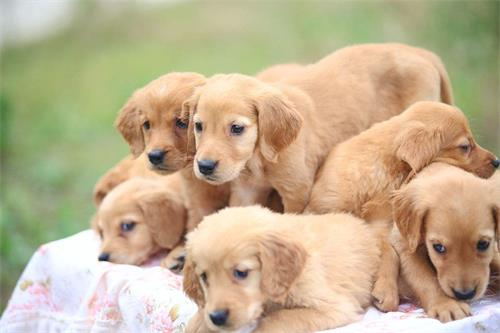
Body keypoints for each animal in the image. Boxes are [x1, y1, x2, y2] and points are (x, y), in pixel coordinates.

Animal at [183, 43, 454, 213]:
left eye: (237, 128)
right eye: (199, 126)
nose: (204, 166)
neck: (259, 158)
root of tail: (421, 53)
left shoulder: (297, 192)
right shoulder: (246, 190)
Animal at [184, 206, 382, 330]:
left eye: (241, 272)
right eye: (204, 277)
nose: (217, 317)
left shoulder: (336, 308)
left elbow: (277, 320)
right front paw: (199, 323)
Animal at [390, 163, 500, 322]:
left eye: (483, 244)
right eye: (438, 247)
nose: (464, 294)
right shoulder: (404, 244)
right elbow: (423, 276)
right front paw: (446, 304)